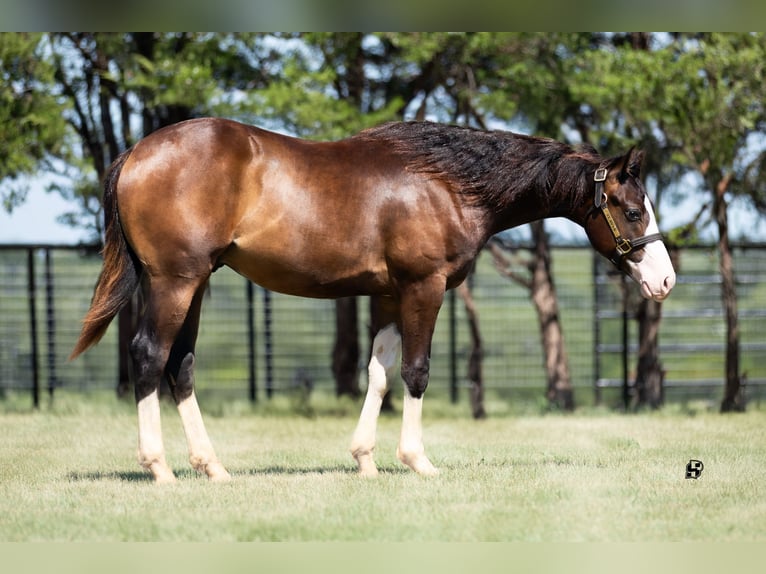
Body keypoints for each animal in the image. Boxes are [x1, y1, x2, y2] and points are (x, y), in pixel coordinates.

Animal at [69, 119, 676, 484]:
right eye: (633, 210)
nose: (666, 281)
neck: (448, 183)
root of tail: (137, 152)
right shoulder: (423, 287)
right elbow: (416, 372)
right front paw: (417, 460)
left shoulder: (387, 294)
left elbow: (379, 374)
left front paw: (364, 459)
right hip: (174, 281)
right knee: (149, 357)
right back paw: (159, 468)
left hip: (192, 283)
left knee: (182, 366)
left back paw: (211, 466)